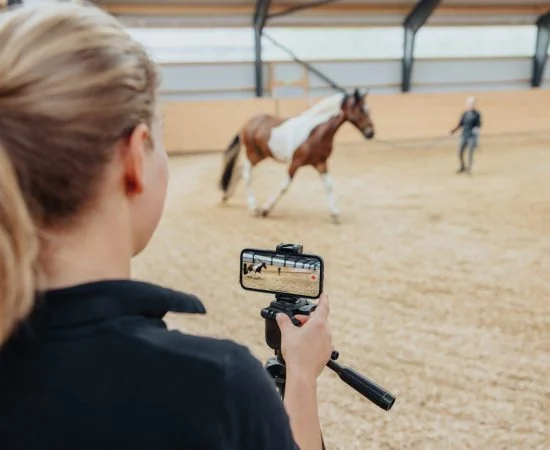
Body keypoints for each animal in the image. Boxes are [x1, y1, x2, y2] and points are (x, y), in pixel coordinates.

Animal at [219, 88, 375, 224]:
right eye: (361, 109)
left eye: (368, 109)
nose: (370, 133)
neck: (314, 133)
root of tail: (246, 125)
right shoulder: (295, 163)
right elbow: (284, 186)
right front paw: (265, 210)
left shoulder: (321, 163)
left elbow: (329, 185)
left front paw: (335, 214)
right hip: (252, 154)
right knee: (246, 173)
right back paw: (253, 207)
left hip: (260, 155)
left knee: (239, 171)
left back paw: (226, 197)